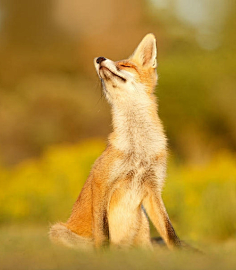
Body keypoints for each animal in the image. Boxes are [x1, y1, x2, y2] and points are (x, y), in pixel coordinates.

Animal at [48, 34, 180, 251]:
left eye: (125, 65)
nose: (99, 58)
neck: (138, 150)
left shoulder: (153, 189)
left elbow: (170, 233)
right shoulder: (102, 183)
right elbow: (103, 232)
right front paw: (105, 255)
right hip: (58, 231)